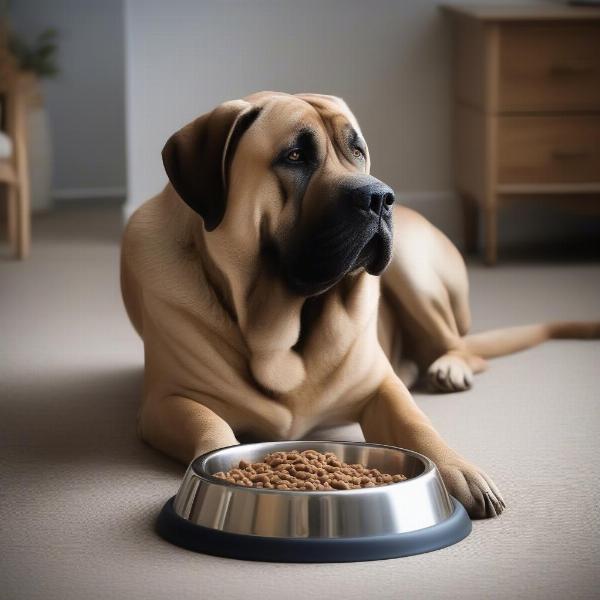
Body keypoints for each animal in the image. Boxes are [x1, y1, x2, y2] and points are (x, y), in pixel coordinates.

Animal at [119, 90, 596, 520]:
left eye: (357, 151)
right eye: (295, 156)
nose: (381, 198)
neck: (281, 324)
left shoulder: (380, 387)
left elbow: (416, 423)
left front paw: (459, 468)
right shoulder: (166, 402)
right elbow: (212, 427)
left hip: (410, 267)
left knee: (461, 348)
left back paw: (448, 367)